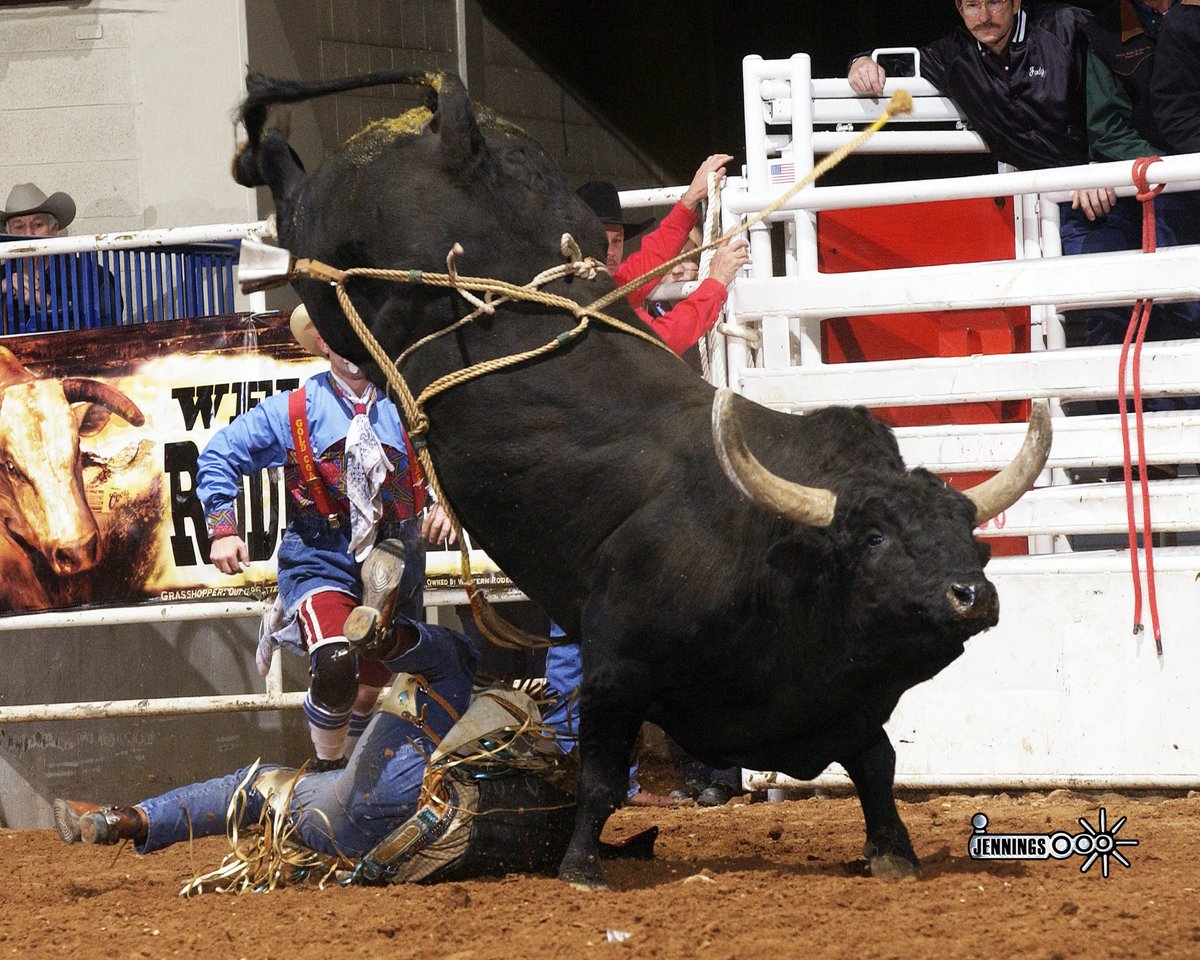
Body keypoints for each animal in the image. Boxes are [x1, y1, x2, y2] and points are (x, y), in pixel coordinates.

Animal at [232, 70, 1051, 888]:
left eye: (973, 541)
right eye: (875, 538)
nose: (972, 594)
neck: (764, 550)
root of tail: (455, 129)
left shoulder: (843, 708)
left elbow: (878, 767)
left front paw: (893, 853)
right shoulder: (614, 672)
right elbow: (598, 776)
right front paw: (581, 866)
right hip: (324, 260)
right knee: (289, 193)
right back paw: (254, 166)